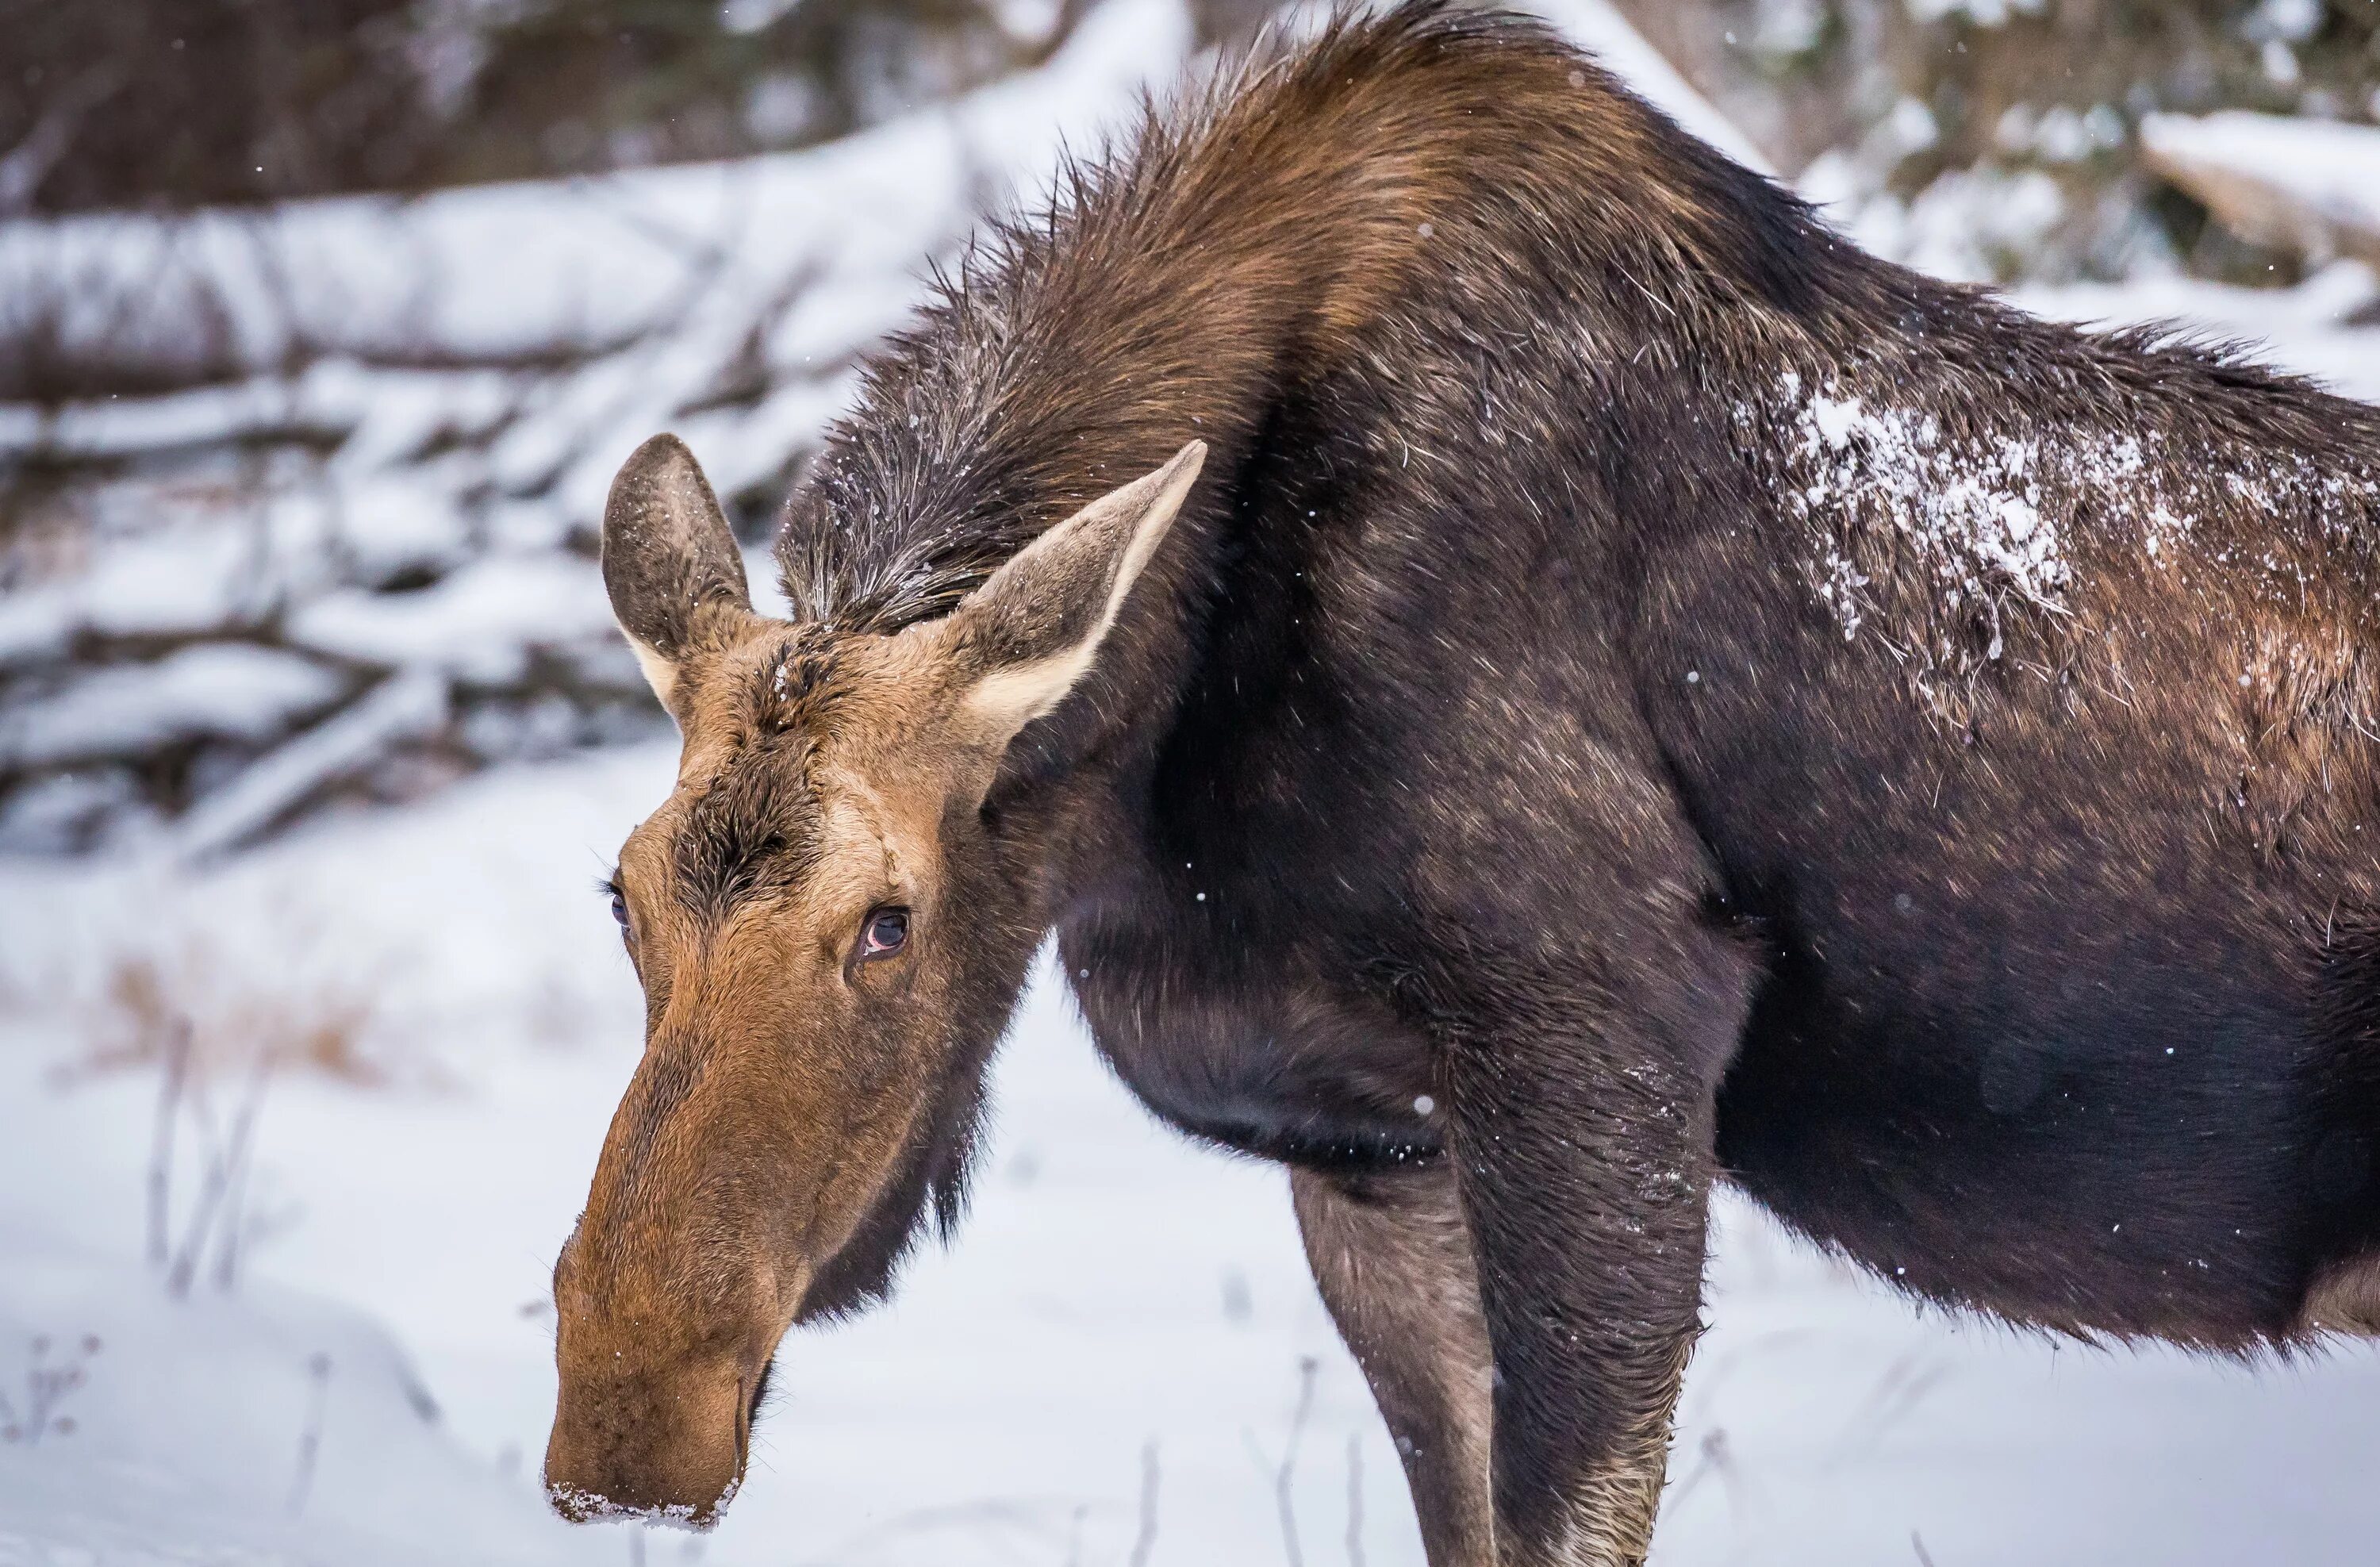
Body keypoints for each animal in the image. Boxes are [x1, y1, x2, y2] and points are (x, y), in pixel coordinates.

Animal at [540, 6, 2380, 1552]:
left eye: (888, 919)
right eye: (619, 897)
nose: (626, 1432)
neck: (1150, 779)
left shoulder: (1600, 1040)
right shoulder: (1370, 1143)